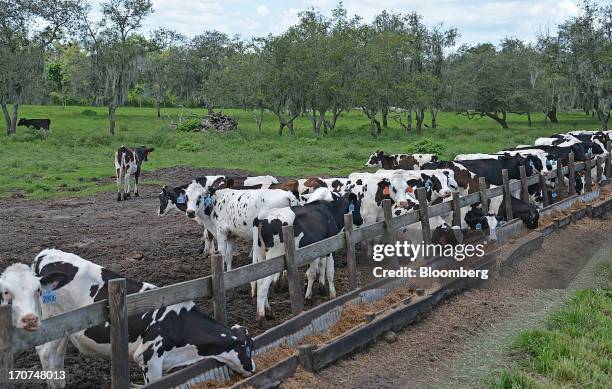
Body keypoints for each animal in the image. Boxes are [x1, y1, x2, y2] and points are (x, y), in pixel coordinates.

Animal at [29, 249, 255, 384]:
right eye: (248, 349)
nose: (253, 369)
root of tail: (45, 254)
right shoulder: (148, 358)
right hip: (55, 326)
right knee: (47, 355)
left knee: (56, 357)